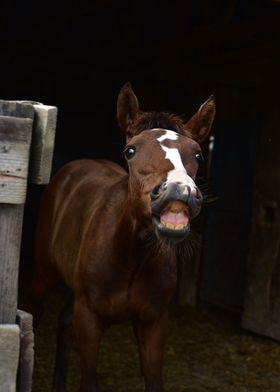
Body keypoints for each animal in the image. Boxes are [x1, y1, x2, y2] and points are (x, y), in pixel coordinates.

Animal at [25, 83, 215, 392]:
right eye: (130, 150)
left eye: (197, 154)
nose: (178, 191)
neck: (132, 256)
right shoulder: (90, 318)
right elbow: (89, 382)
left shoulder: (154, 324)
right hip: (44, 273)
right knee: (33, 315)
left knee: (64, 324)